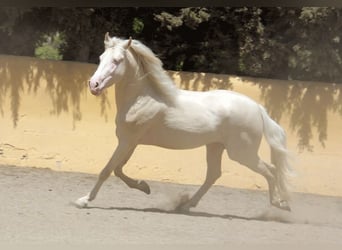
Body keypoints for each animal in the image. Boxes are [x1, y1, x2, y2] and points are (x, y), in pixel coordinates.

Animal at [75, 33, 294, 212]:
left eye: (117, 60)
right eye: (101, 58)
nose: (93, 85)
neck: (141, 98)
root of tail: (257, 108)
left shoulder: (127, 141)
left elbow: (107, 170)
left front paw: (83, 200)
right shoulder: (131, 143)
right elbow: (118, 169)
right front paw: (144, 186)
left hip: (241, 153)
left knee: (270, 170)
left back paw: (280, 204)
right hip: (215, 147)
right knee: (214, 174)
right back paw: (187, 205)